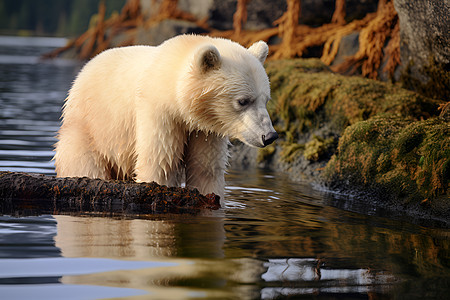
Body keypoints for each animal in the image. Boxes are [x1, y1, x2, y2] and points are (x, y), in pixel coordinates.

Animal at [53, 34, 278, 199]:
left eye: (266, 99)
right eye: (243, 101)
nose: (269, 136)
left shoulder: (206, 129)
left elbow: (206, 168)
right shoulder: (159, 112)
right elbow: (160, 163)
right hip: (89, 128)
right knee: (83, 163)